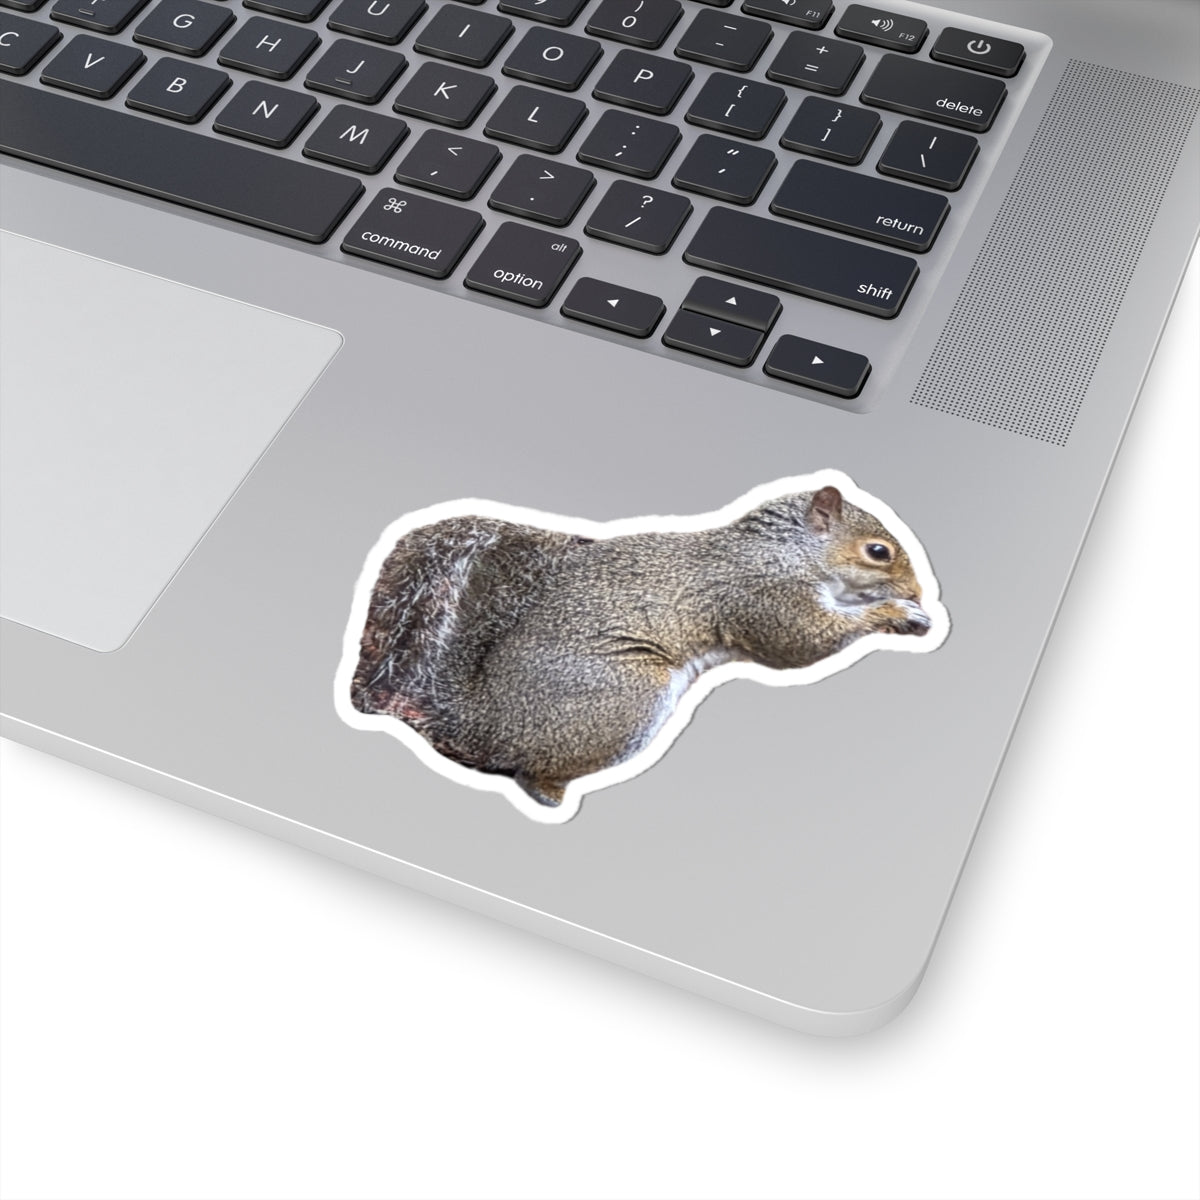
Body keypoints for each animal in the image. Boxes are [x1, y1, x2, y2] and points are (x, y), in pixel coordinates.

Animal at [349, 485, 933, 811]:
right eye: (878, 551)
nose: (918, 593)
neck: (783, 551)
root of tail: (484, 725)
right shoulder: (761, 595)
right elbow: (802, 641)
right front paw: (894, 614)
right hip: (628, 695)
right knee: (531, 772)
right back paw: (551, 796)